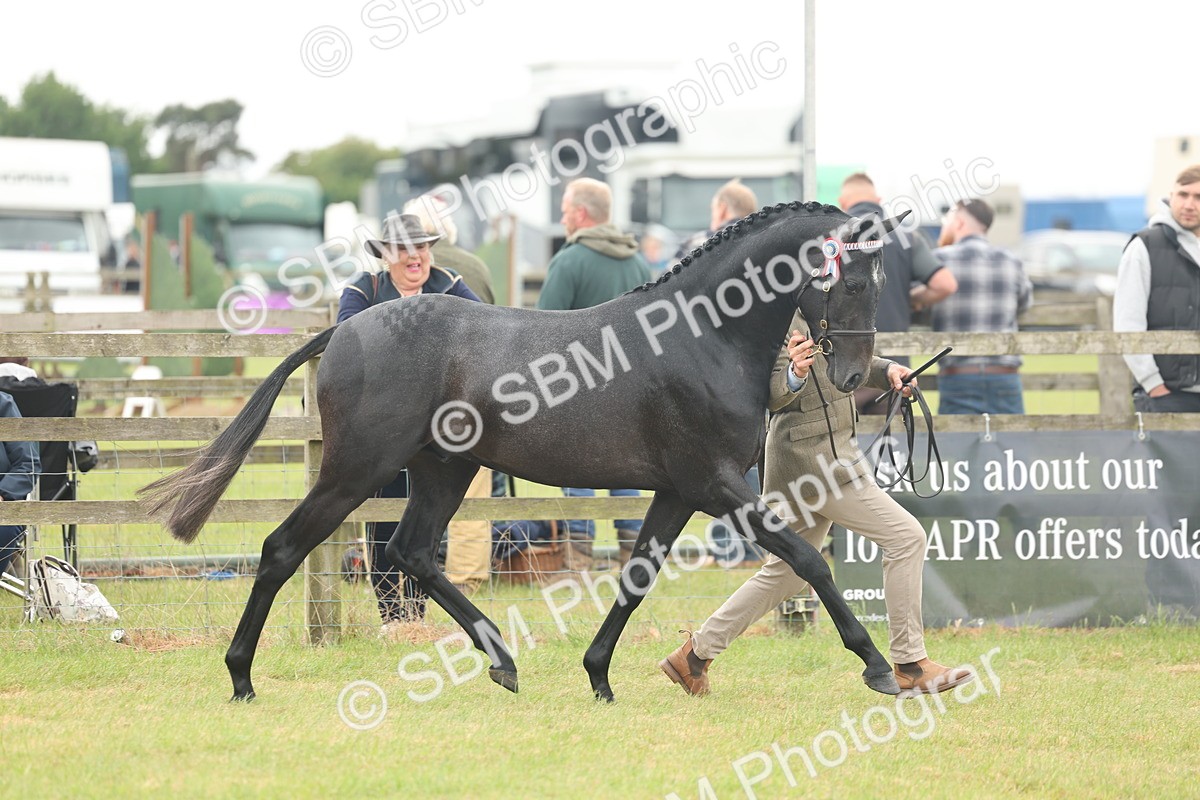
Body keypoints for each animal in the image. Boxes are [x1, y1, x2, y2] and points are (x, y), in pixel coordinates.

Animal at [140, 201, 907, 702]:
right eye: (852, 279)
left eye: (879, 280)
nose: (850, 377)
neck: (699, 335)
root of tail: (348, 329)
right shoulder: (717, 485)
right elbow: (808, 558)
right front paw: (879, 668)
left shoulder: (678, 491)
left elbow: (636, 577)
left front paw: (599, 675)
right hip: (357, 471)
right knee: (283, 549)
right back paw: (241, 676)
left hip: (445, 469)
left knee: (411, 552)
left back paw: (503, 662)